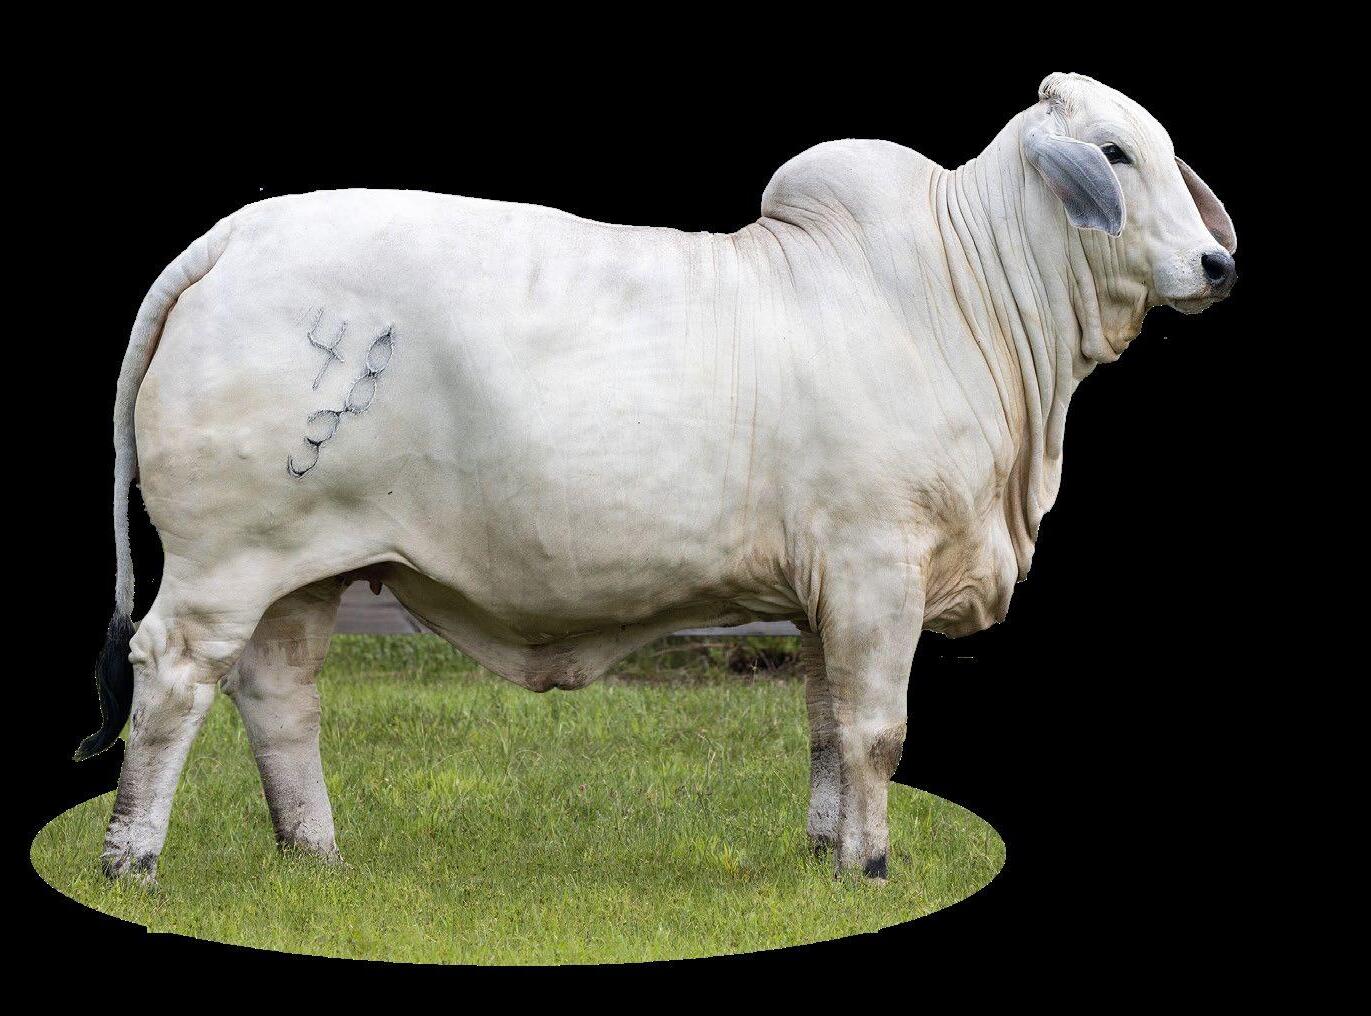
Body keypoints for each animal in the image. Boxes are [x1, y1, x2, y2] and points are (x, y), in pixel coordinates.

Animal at [78, 72, 1235, 883]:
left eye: (1169, 154)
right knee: (175, 676)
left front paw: (821, 855)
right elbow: (876, 731)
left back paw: (316, 856)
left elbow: (824, 724)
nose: (1218, 266)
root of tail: (234, 237)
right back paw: (132, 859)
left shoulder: (823, 589)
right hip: (226, 559)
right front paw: (870, 865)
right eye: (1114, 152)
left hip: (306, 565)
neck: (968, 298)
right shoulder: (877, 568)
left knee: (279, 692)